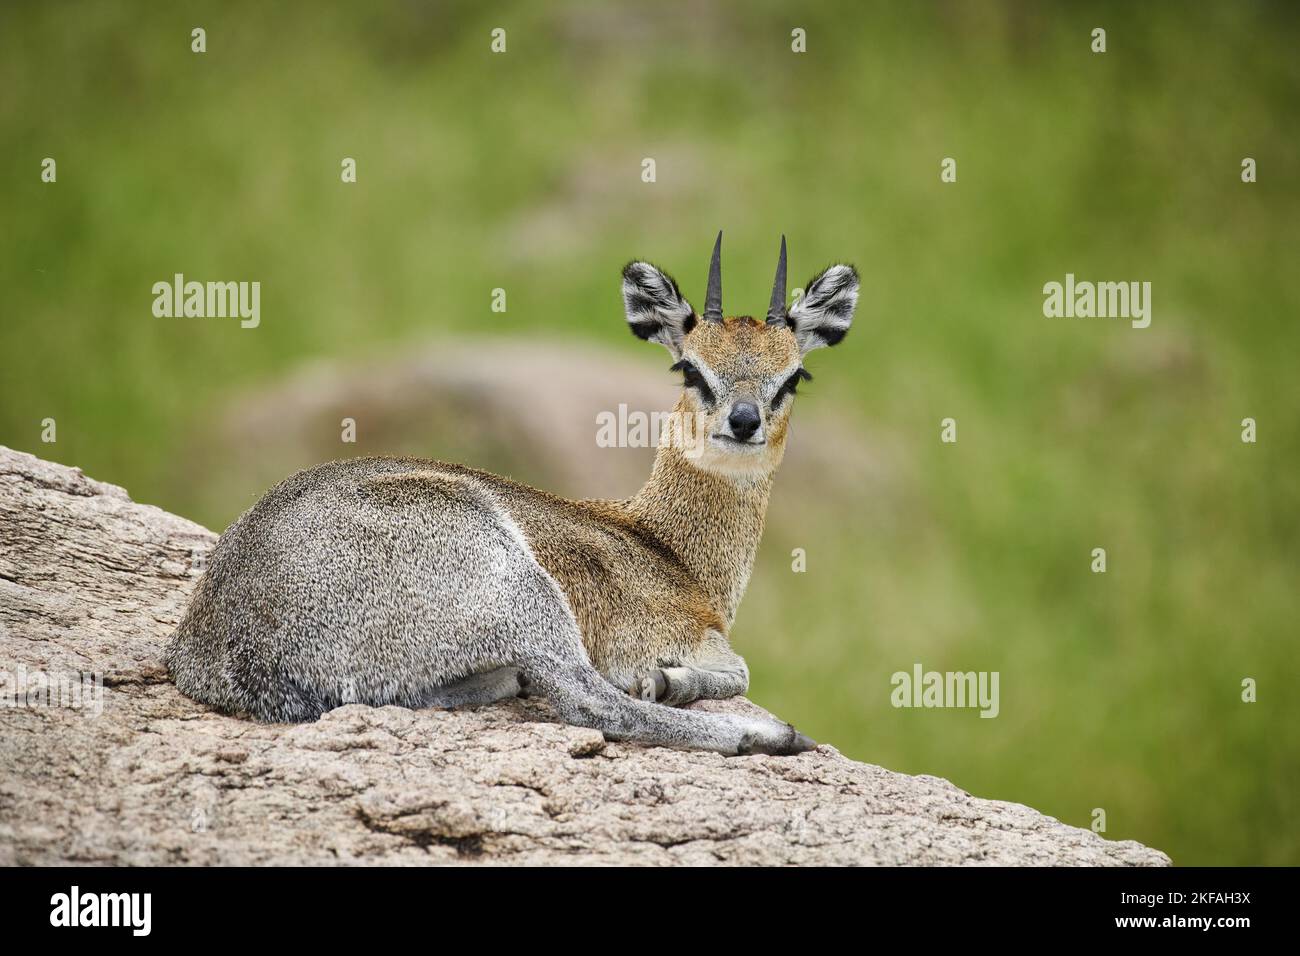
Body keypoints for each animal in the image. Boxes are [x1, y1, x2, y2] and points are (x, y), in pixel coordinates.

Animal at [165, 233, 859, 755]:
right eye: (690, 367)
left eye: (793, 376)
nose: (743, 420)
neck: (669, 550)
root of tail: (220, 652)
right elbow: (732, 667)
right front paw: (668, 681)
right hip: (517, 585)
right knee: (590, 700)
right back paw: (771, 734)